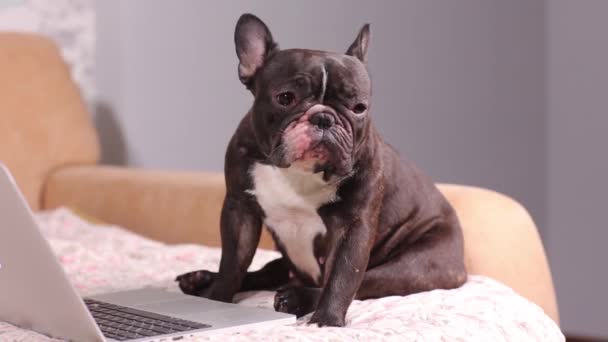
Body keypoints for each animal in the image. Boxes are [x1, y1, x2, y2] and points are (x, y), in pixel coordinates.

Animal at [176, 14, 466, 328]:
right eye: (285, 98)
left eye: (359, 107)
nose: (324, 118)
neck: (299, 173)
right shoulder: (240, 210)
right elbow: (232, 262)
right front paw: (216, 298)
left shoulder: (353, 227)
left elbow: (342, 278)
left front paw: (326, 322)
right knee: (266, 272)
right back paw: (200, 280)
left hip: (414, 266)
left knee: (364, 281)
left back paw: (296, 297)